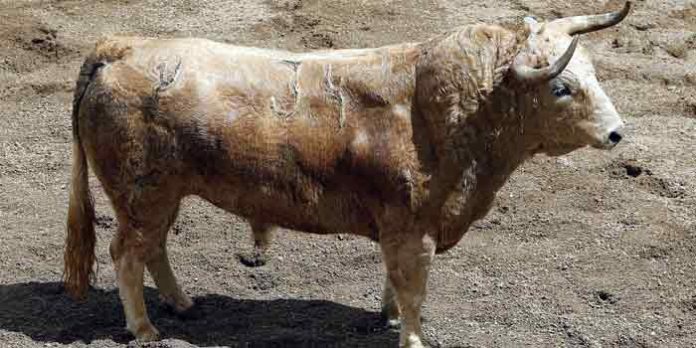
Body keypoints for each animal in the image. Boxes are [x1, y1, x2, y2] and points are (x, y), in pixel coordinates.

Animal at [64, 2, 632, 346]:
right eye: (562, 87)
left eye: (594, 74)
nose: (616, 133)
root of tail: (122, 47)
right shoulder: (412, 230)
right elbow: (412, 286)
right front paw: (412, 335)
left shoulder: (403, 229)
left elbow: (395, 283)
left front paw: (388, 316)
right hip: (142, 195)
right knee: (126, 254)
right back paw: (145, 328)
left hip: (165, 194)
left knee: (153, 247)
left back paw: (182, 305)